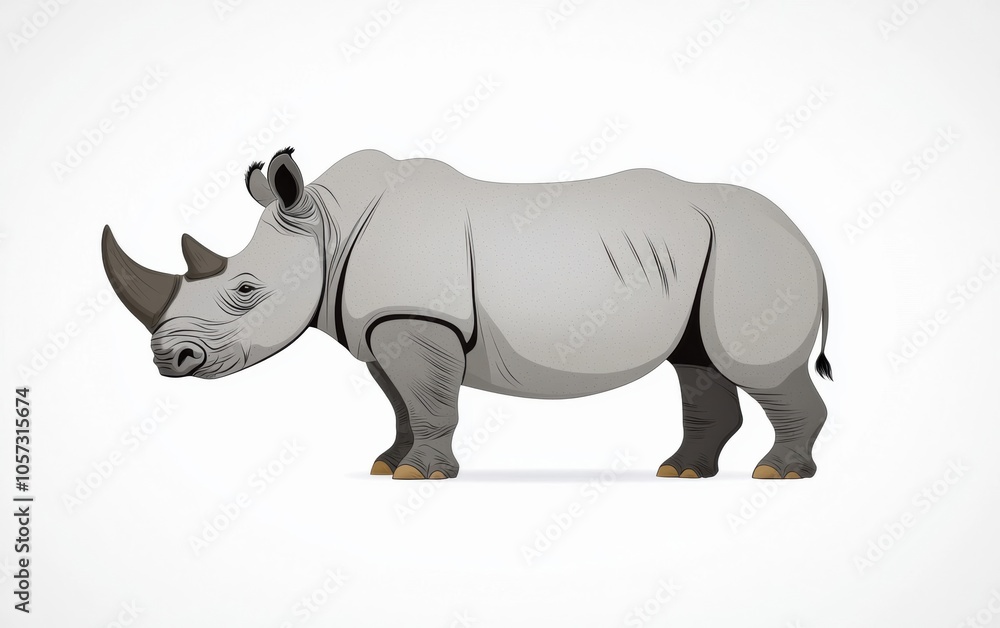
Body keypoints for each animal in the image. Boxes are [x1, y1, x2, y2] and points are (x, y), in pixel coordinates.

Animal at [102, 147, 832, 480]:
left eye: (246, 290)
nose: (169, 359)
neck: (326, 229)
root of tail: (805, 238)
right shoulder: (384, 324)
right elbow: (401, 402)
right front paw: (388, 465)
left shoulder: (417, 318)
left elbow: (428, 399)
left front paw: (419, 477)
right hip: (712, 252)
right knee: (696, 361)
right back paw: (681, 475)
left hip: (753, 254)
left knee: (750, 365)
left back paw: (777, 474)